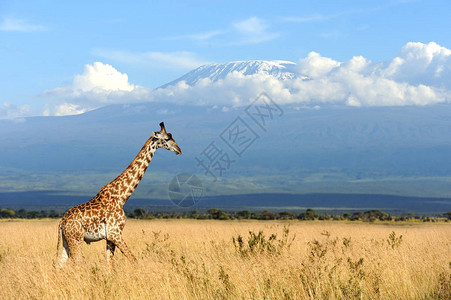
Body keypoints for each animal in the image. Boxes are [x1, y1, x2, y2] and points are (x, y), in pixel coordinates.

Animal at [56, 122, 182, 268]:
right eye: (167, 138)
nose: (179, 150)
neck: (122, 197)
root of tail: (61, 222)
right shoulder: (114, 233)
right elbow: (133, 260)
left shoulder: (110, 237)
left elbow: (110, 265)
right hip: (76, 239)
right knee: (77, 263)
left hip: (66, 241)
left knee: (58, 264)